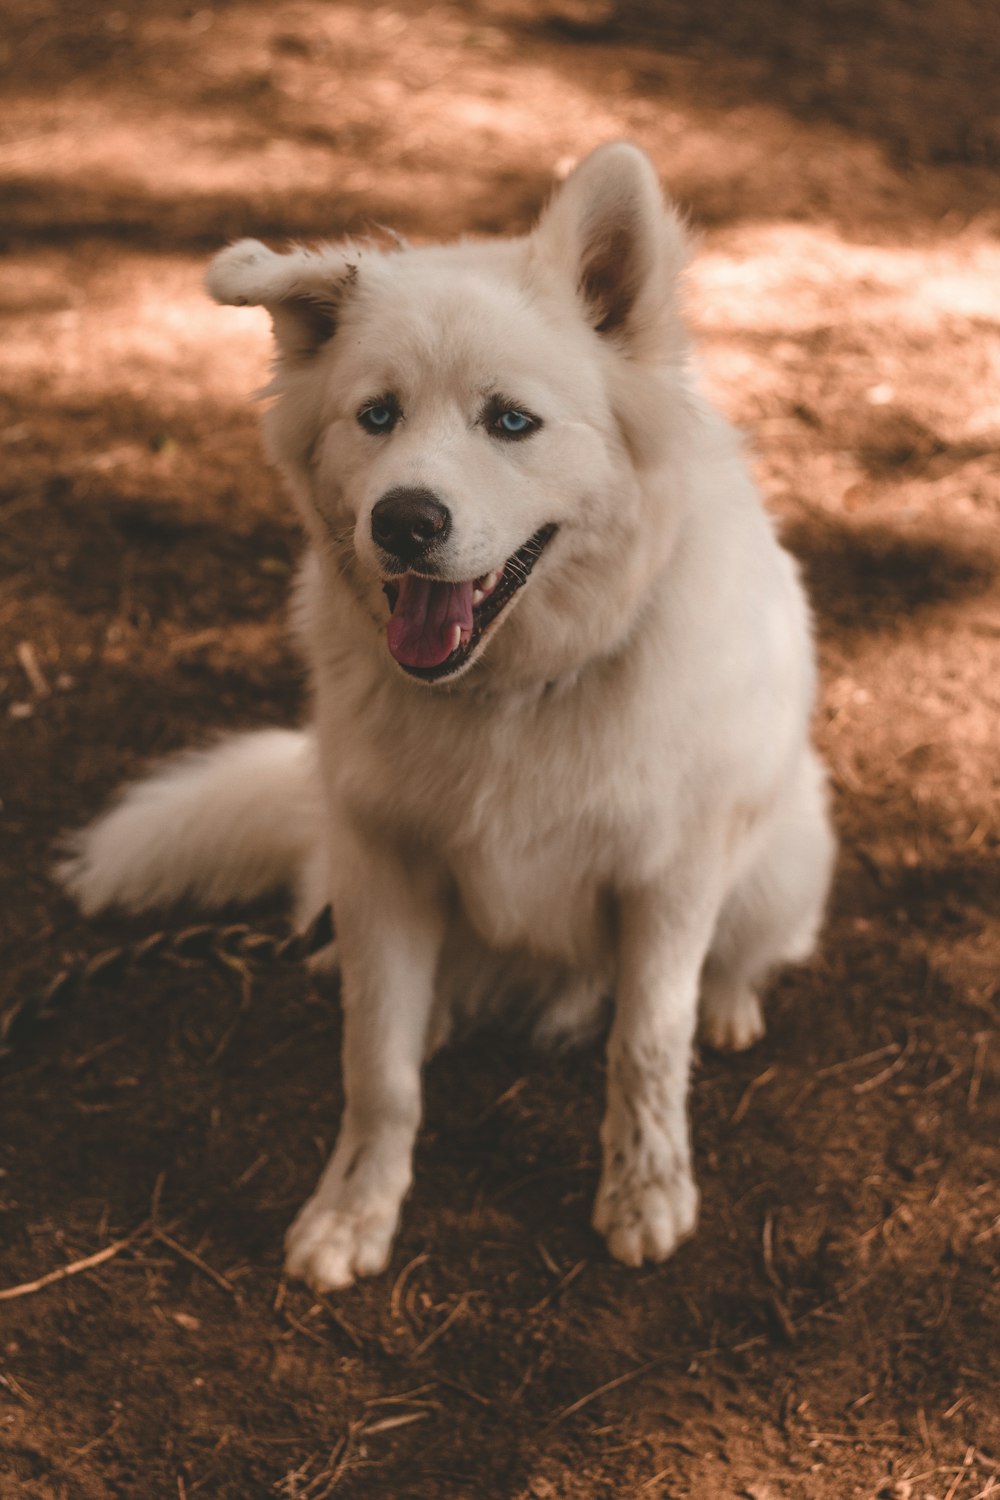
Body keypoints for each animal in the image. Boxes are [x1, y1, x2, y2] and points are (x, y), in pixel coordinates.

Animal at [60, 143, 839, 1290]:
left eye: (510, 420)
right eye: (376, 415)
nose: (405, 522)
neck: (511, 692)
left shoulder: (668, 879)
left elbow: (647, 1045)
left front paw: (645, 1193)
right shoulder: (384, 864)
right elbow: (377, 1068)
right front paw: (354, 1213)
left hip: (785, 855)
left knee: (740, 958)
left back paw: (731, 1005)